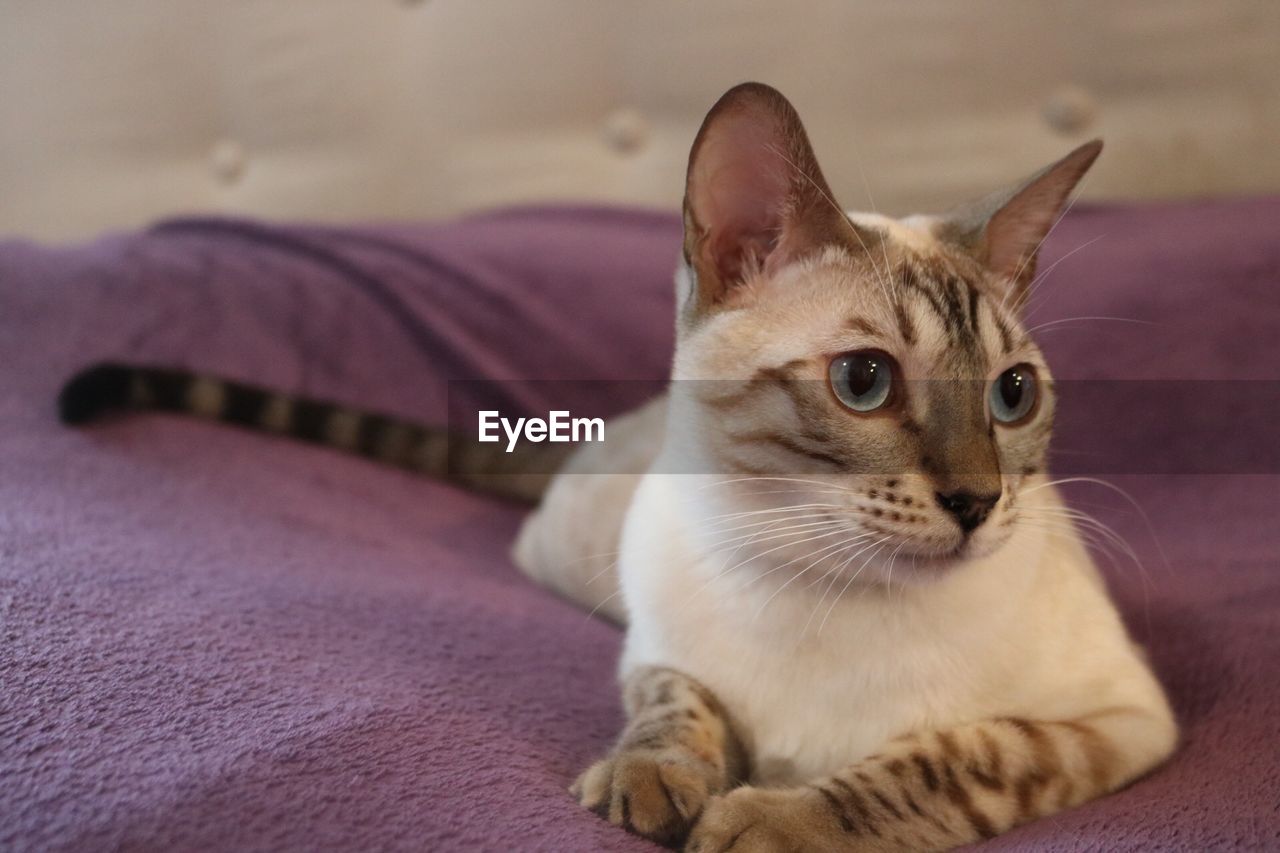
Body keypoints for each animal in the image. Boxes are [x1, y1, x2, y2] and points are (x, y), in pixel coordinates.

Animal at [62, 81, 1177, 850]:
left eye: (1011, 395)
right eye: (864, 380)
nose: (978, 500)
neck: (822, 583)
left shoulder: (1115, 721)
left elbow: (947, 756)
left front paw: (773, 819)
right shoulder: (651, 645)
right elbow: (673, 703)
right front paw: (652, 784)